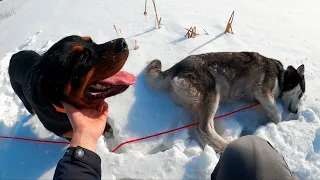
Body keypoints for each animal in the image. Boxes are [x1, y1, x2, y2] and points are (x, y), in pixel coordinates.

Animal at [145, 51, 304, 152]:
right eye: (301, 94)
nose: (296, 111)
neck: (281, 75)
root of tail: (178, 65)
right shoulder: (263, 91)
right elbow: (277, 112)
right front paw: (276, 122)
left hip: (198, 104)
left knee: (198, 129)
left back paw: (213, 148)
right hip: (212, 95)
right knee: (205, 127)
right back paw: (225, 144)